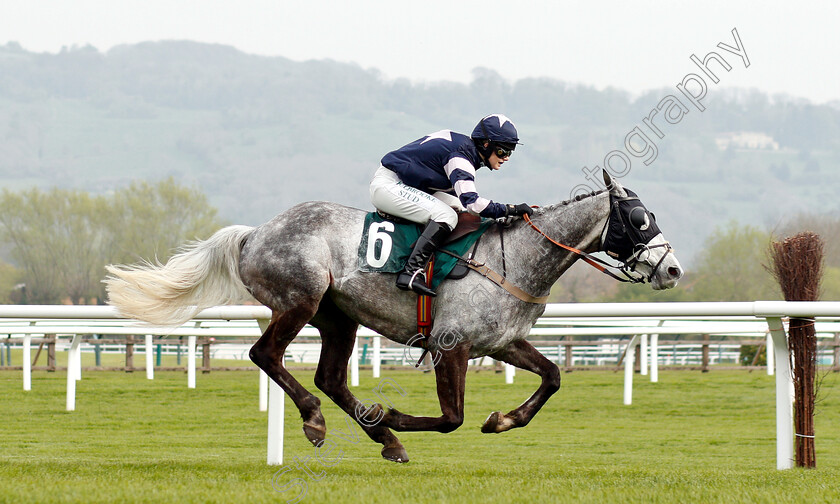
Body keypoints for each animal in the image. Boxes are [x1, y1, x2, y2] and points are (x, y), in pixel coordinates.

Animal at [105, 171, 684, 462]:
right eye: (638, 218)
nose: (673, 269)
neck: (516, 258)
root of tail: (254, 233)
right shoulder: (453, 344)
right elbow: (452, 418)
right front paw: (395, 416)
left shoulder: (501, 343)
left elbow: (554, 376)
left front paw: (502, 419)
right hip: (300, 300)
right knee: (265, 354)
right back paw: (322, 422)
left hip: (339, 317)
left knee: (331, 377)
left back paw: (380, 437)